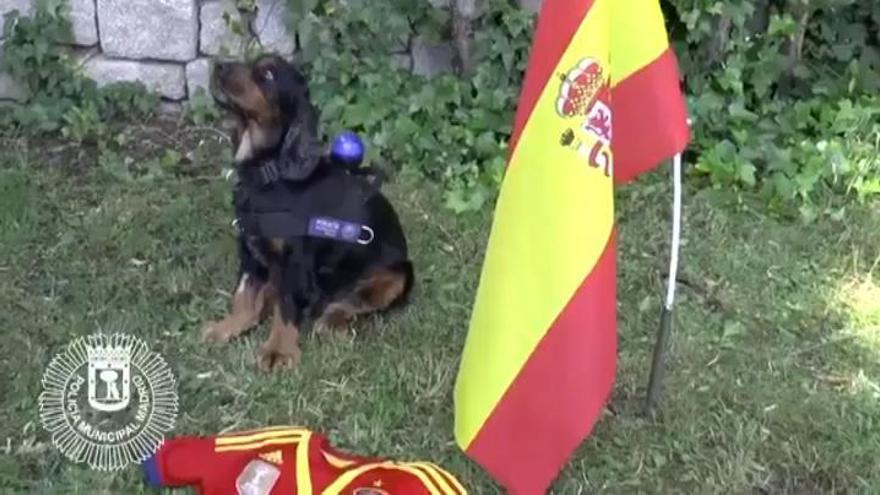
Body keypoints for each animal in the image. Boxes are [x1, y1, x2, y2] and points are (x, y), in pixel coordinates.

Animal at [205, 55, 414, 372]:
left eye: (267, 74)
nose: (218, 65)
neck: (269, 173)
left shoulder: (295, 260)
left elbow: (287, 304)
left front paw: (278, 351)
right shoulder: (249, 250)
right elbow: (244, 295)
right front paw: (227, 327)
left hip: (398, 275)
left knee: (352, 301)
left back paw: (330, 318)